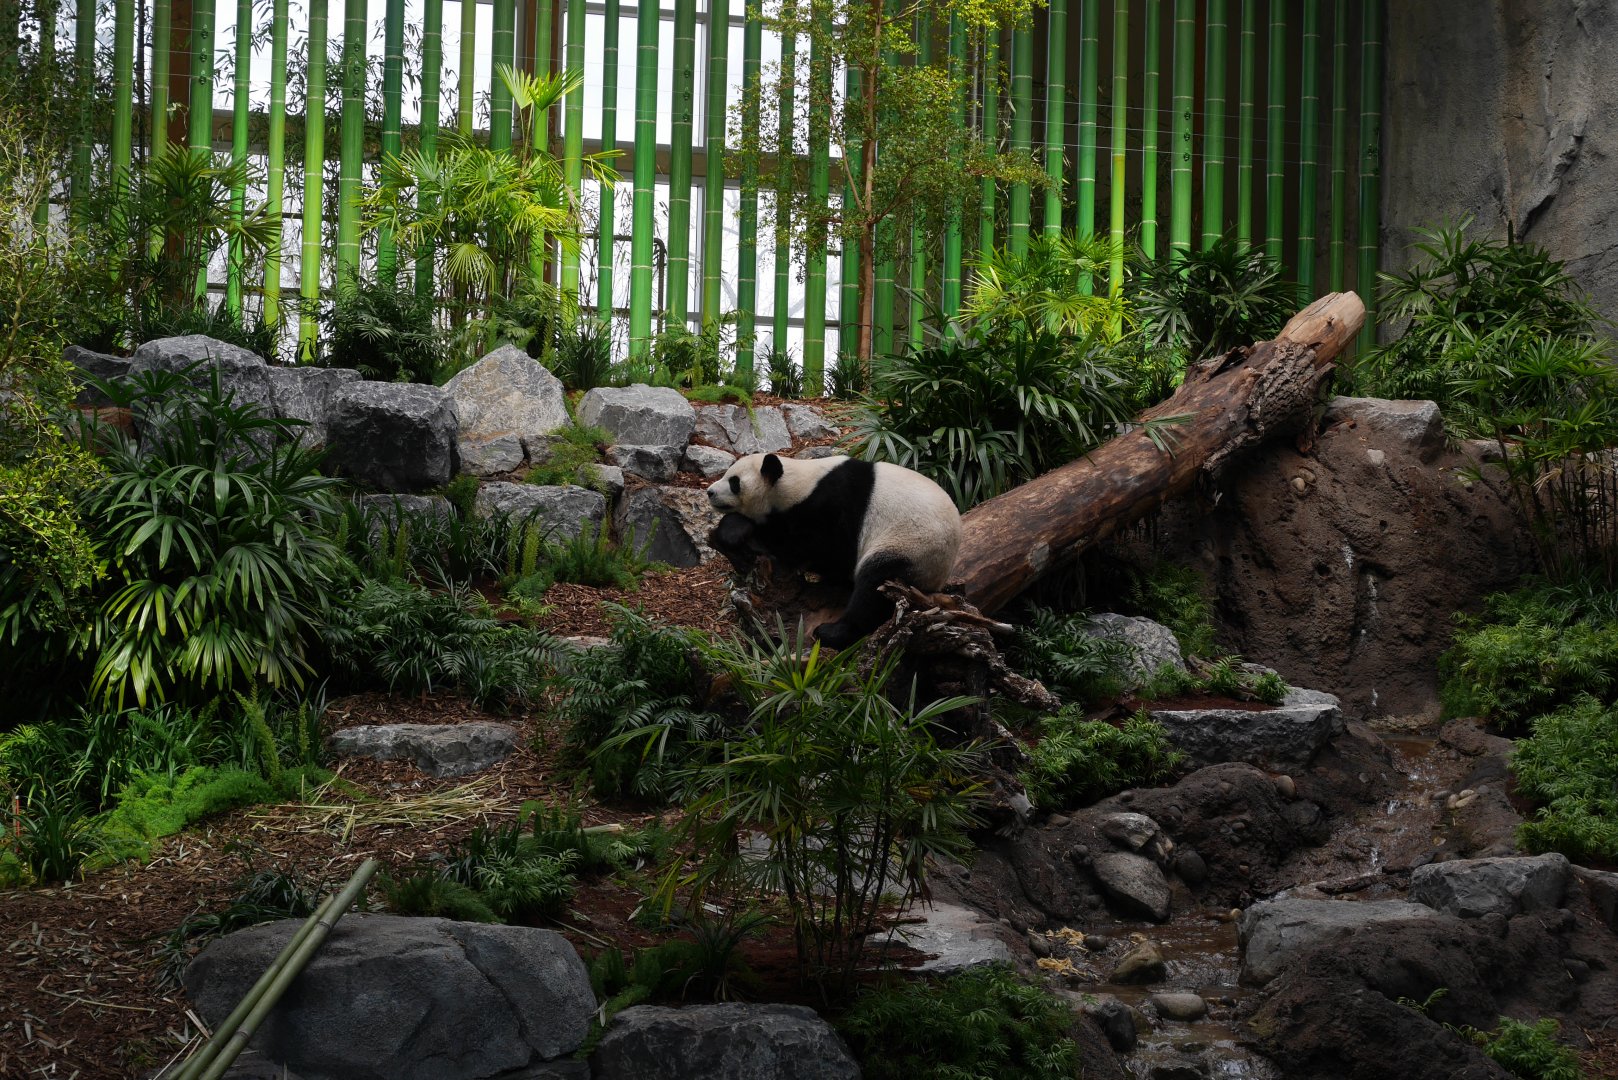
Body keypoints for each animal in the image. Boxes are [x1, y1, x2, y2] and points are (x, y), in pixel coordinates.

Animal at [705, 452, 962, 649]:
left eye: (734, 482)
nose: (710, 492)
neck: (796, 483)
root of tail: (937, 580)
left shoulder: (833, 507)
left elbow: (816, 549)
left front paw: (736, 530)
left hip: (912, 547)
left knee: (875, 584)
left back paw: (831, 633)